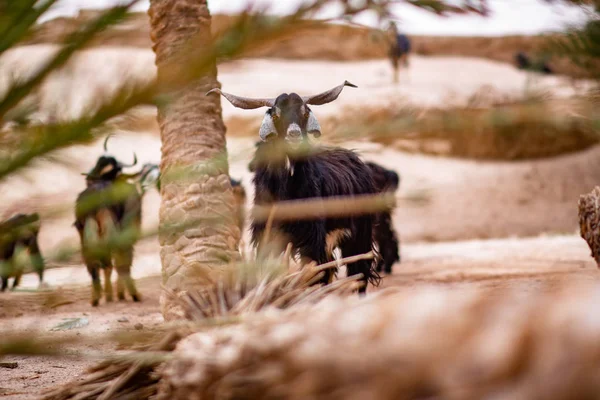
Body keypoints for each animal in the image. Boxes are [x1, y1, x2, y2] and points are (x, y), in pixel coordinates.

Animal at [74, 139, 151, 308]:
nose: (88, 178)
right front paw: (119, 295)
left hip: (88, 231)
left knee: (97, 262)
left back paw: (97, 298)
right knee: (118, 262)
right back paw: (131, 295)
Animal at [211, 81, 380, 294]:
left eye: (305, 113)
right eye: (276, 115)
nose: (294, 135)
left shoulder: (311, 238)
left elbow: (314, 275)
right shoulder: (268, 236)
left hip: (359, 234)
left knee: (359, 272)